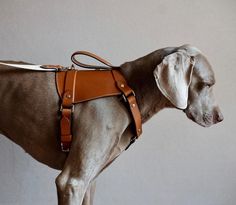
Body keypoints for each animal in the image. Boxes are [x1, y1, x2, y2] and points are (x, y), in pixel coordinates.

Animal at [0, 44, 223, 205]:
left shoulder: (90, 182)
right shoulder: (72, 183)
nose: (220, 117)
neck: (128, 91)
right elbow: (70, 182)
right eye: (207, 84)